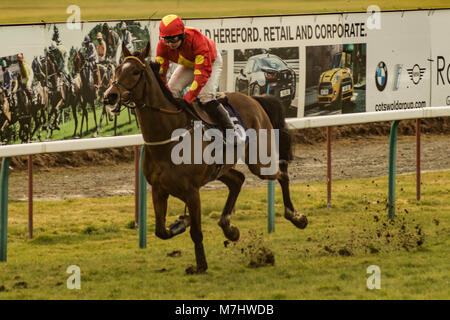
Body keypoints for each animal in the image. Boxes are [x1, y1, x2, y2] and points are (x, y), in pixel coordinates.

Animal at [103, 42, 308, 272]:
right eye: (117, 70)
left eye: (136, 72)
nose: (109, 96)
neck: (167, 137)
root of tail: (254, 100)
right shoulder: (158, 189)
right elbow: (161, 231)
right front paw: (181, 222)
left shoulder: (192, 191)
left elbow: (196, 232)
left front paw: (200, 265)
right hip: (220, 169)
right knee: (238, 180)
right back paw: (229, 228)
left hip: (259, 161)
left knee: (282, 175)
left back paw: (296, 217)